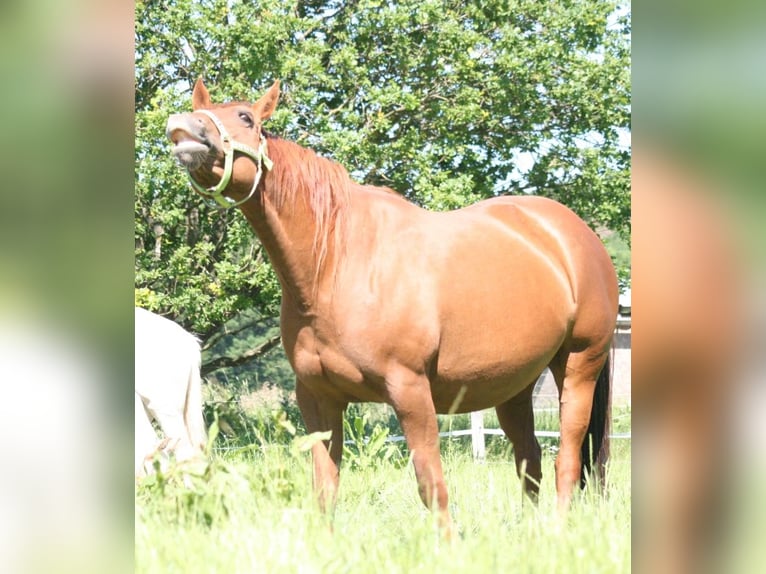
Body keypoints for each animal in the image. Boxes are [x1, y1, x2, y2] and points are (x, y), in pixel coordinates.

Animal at [165, 79, 620, 528]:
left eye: (245, 117)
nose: (182, 126)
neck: (336, 265)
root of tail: (578, 235)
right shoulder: (317, 398)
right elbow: (325, 486)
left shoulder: (410, 391)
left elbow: (430, 483)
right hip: (513, 384)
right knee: (530, 459)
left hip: (578, 365)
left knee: (567, 458)